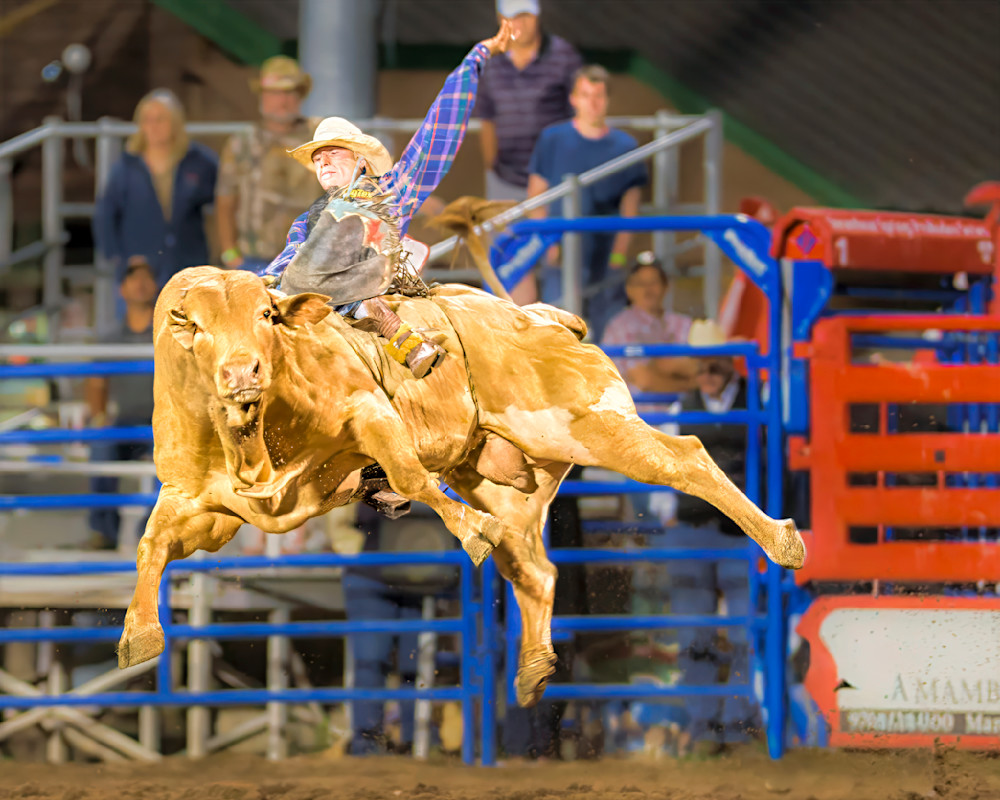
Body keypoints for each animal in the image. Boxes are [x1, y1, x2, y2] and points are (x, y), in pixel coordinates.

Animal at [117, 266, 805, 708]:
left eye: (266, 315)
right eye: (195, 326)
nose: (243, 373)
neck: (250, 438)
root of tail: (542, 318)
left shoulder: (369, 413)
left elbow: (408, 472)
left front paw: (468, 533)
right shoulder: (203, 506)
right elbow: (152, 545)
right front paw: (138, 636)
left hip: (586, 424)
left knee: (684, 459)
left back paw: (783, 541)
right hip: (504, 480)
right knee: (536, 569)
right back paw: (532, 670)